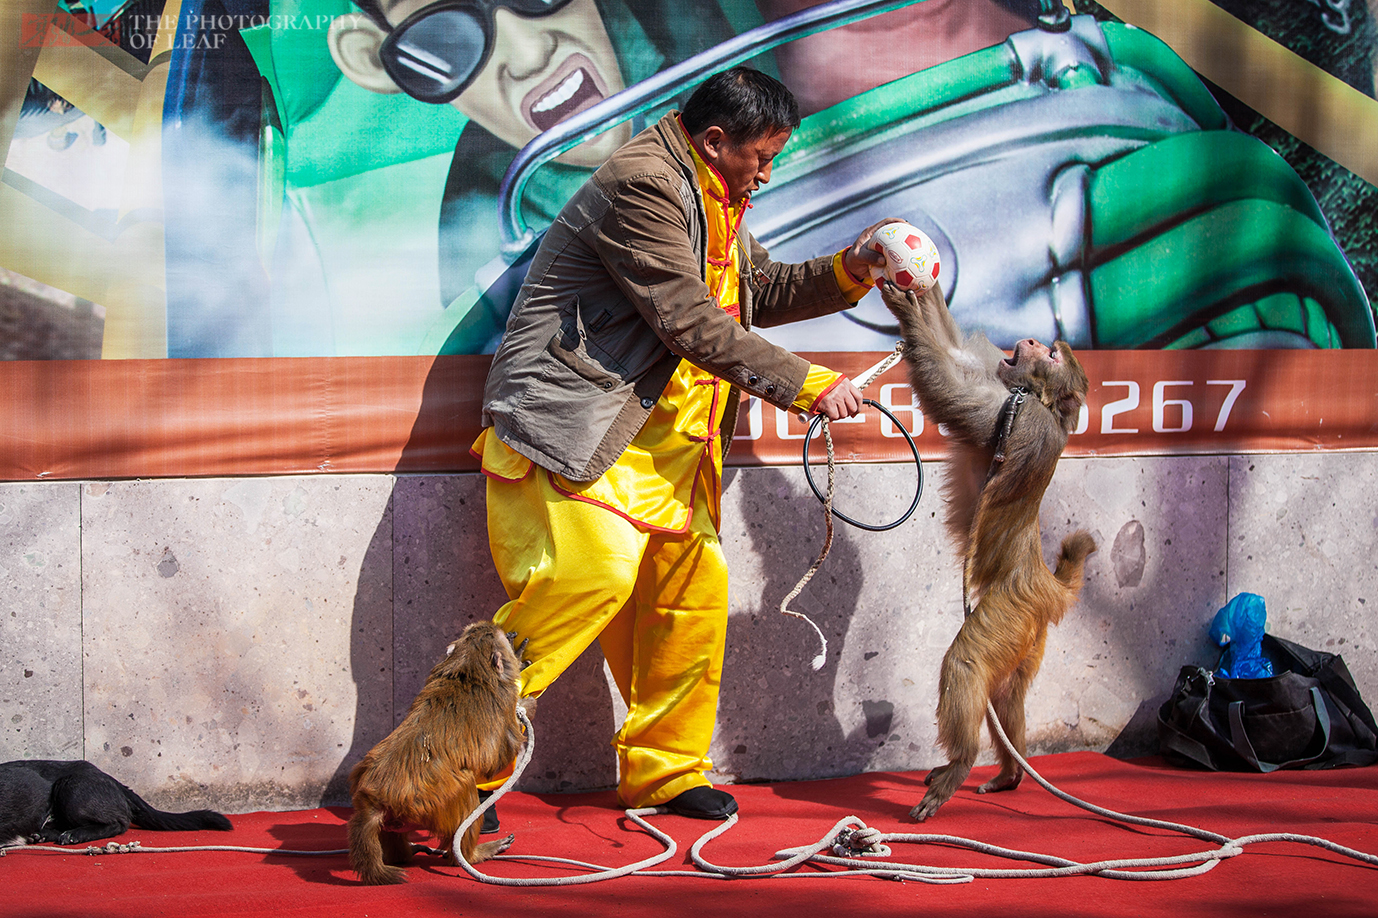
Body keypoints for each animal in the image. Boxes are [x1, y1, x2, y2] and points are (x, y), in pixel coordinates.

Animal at [350, 617, 526, 882]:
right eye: (501, 636)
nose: (510, 633)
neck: (467, 667)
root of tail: (375, 798)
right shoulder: (504, 701)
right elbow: (499, 757)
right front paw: (525, 692)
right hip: (438, 802)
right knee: (465, 785)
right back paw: (473, 855)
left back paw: (403, 855)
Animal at [881, 281, 1096, 821]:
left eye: (1050, 354)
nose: (1033, 340)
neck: (1042, 402)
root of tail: (1044, 584)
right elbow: (957, 353)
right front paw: (927, 294)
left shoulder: (1015, 412)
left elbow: (951, 392)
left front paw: (908, 310)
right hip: (1028, 637)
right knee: (1006, 697)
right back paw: (1010, 774)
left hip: (1009, 613)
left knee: (967, 665)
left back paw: (961, 763)